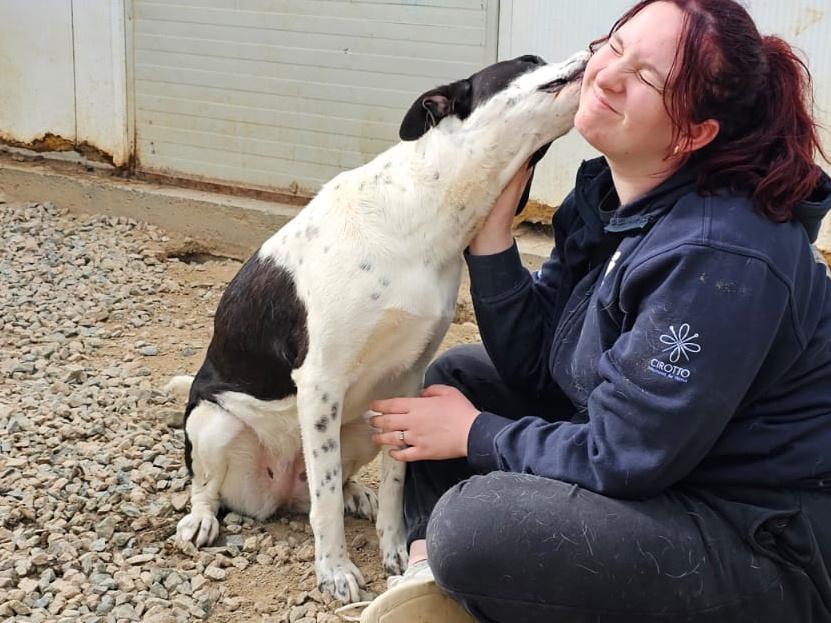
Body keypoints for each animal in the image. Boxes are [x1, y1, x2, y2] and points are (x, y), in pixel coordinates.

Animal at [167, 50, 589, 603]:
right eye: (528, 60)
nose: (592, 47)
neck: (426, 214)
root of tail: (277, 491)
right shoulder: (320, 381)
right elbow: (324, 504)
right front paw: (334, 571)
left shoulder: (406, 384)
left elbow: (393, 481)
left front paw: (394, 549)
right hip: (215, 421)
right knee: (214, 484)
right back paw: (201, 518)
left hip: (363, 422)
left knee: (323, 484)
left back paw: (355, 494)